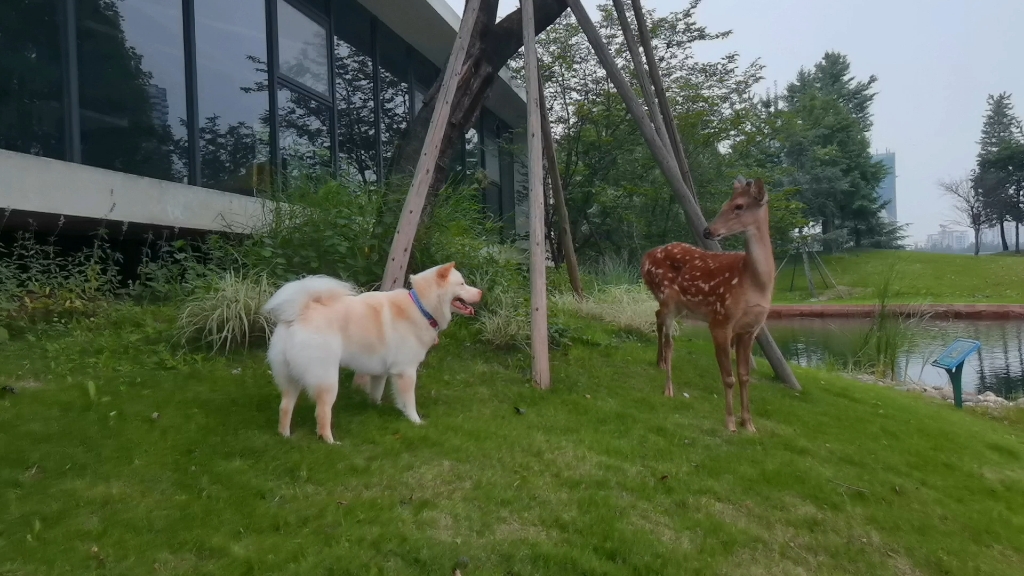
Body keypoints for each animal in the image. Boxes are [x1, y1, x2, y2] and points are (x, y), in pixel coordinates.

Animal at [260, 262, 483, 440]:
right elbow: (409, 401)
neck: (422, 307)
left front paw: (376, 407)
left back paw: (285, 436)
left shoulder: (381, 371)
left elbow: (376, 392)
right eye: (462, 284)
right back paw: (330, 441)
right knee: (322, 412)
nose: (481, 293)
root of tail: (298, 313)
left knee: (285, 407)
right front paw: (415, 421)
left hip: (291, 378)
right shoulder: (406, 372)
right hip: (327, 379)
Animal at [638, 175, 774, 430]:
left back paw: (659, 363)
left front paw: (749, 424)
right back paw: (669, 389)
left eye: (738, 206)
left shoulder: (751, 329)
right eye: (724, 203)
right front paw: (730, 423)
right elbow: (728, 377)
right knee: (670, 340)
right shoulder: (720, 320)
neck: (755, 284)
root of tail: (645, 257)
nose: (708, 230)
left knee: (657, 316)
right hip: (667, 295)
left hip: (678, 304)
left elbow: (744, 376)